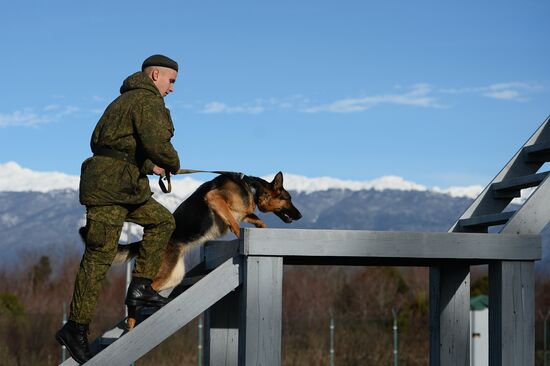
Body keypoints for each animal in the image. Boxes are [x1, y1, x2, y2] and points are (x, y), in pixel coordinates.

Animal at [112, 172, 302, 328]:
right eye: (288, 199)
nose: (300, 216)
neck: (252, 188)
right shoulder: (214, 198)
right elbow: (233, 220)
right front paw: (240, 234)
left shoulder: (243, 211)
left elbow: (255, 218)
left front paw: (263, 228)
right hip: (165, 274)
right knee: (136, 292)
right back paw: (131, 321)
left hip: (174, 276)